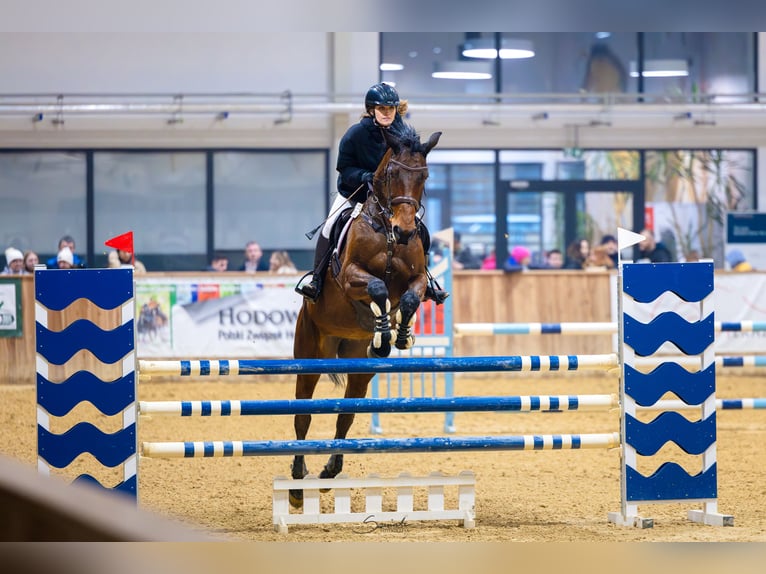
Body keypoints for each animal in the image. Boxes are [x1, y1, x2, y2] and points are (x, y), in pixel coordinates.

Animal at [289, 124, 442, 507]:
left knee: (346, 414)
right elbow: (376, 288)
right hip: (308, 353)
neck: (387, 232)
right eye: (391, 175)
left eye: (424, 176)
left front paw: (397, 335)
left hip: (360, 368)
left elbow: (409, 297)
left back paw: (329, 471)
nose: (405, 231)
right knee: (302, 414)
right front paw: (384, 328)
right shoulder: (349, 277)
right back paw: (296, 484)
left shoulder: (416, 280)